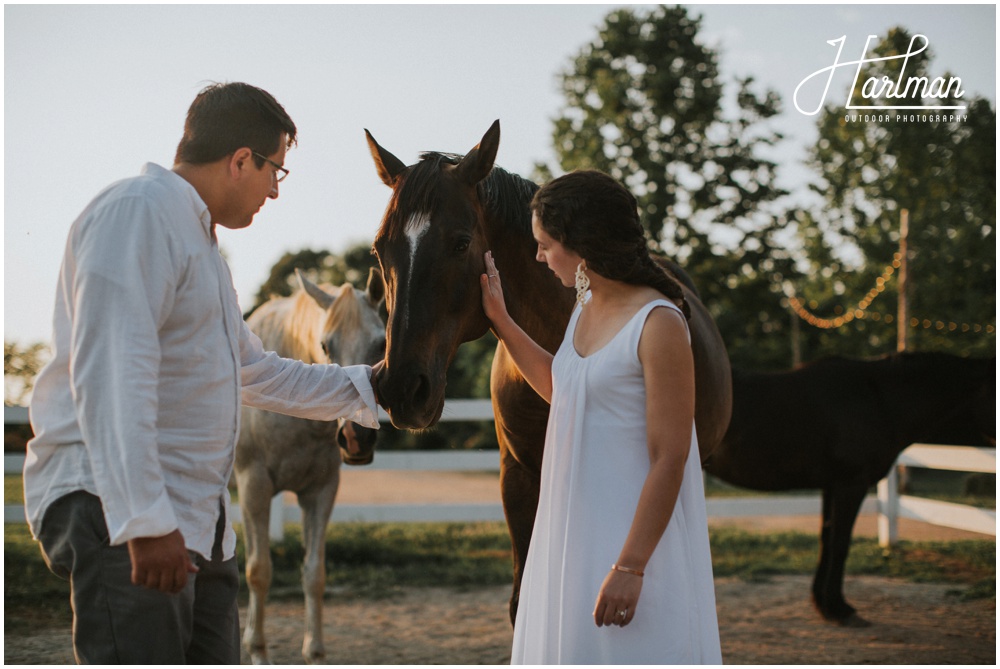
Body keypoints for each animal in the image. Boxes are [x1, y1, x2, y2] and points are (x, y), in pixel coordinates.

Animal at [708, 350, 996, 628]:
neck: (878, 399)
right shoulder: (851, 484)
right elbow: (840, 543)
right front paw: (840, 609)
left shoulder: (830, 484)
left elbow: (826, 539)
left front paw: (823, 605)